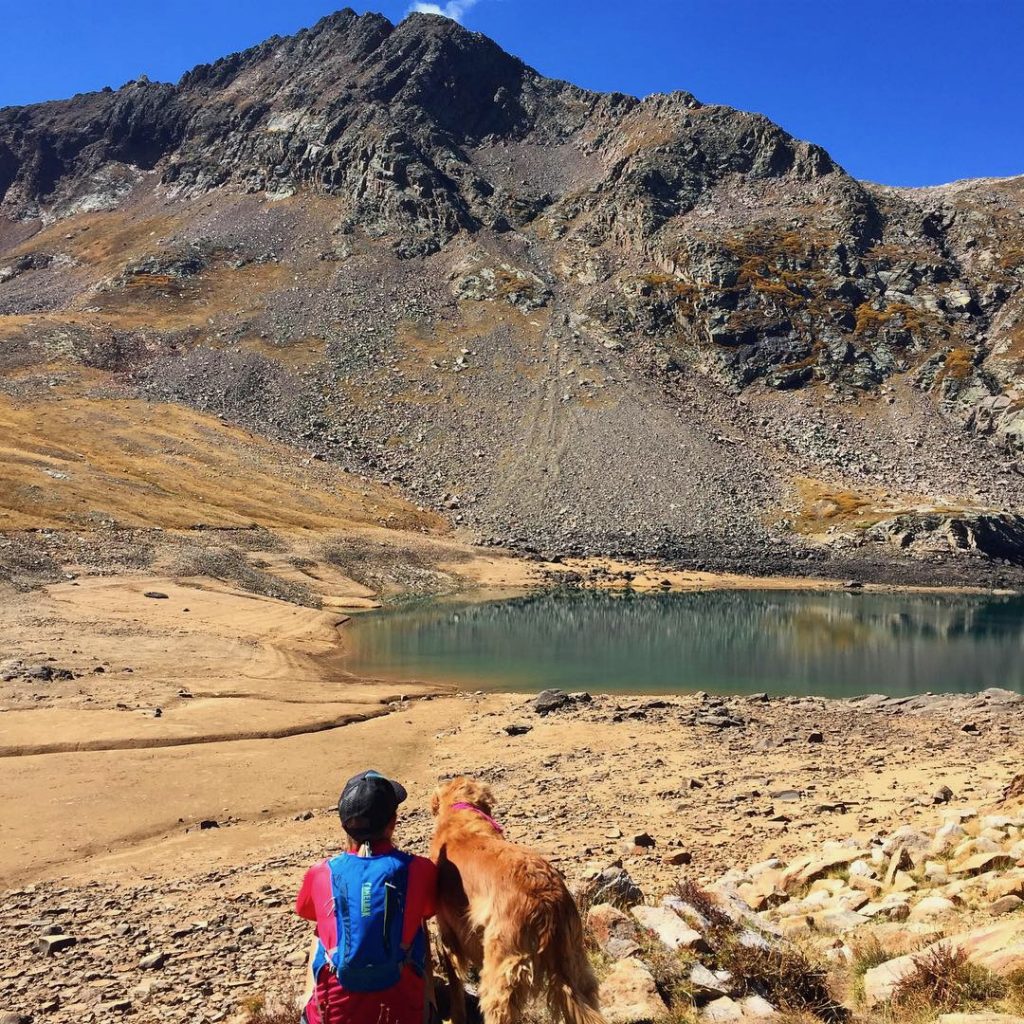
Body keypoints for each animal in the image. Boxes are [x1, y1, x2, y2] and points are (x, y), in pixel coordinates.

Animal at [428, 774, 602, 1024]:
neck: (460, 810)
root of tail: (548, 898)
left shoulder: (447, 929)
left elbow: (454, 982)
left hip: (502, 969)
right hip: (575, 959)